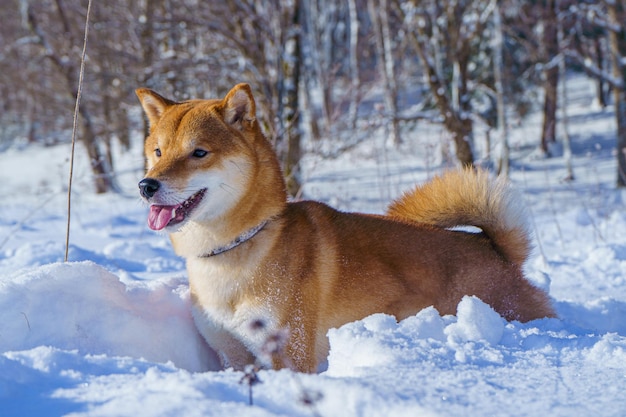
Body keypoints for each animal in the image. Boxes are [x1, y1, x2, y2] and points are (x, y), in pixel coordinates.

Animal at [138, 83, 556, 372]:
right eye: (157, 152)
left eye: (199, 153)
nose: (147, 185)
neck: (239, 245)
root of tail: (495, 249)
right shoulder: (232, 354)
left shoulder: (291, 357)